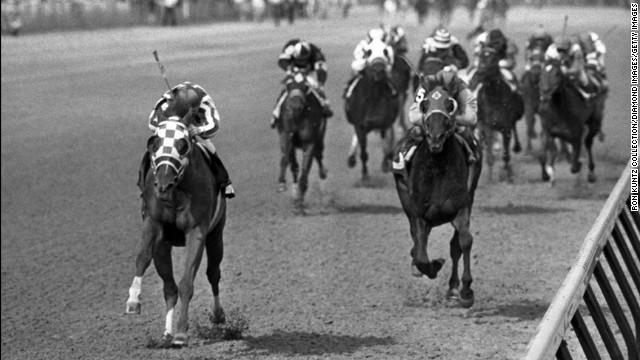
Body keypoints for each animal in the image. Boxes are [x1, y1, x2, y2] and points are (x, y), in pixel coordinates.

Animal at [125, 109, 228, 348]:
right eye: (154, 142)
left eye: (183, 144)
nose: (163, 184)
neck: (177, 191)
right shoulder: (154, 223)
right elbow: (142, 257)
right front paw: (133, 300)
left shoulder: (197, 231)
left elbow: (187, 283)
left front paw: (181, 332)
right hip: (163, 246)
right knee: (169, 288)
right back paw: (166, 334)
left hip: (216, 234)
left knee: (213, 273)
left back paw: (218, 315)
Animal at [276, 69, 328, 211]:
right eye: (289, 85)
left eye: (305, 86)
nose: (295, 107)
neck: (298, 117)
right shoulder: (286, 137)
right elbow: (287, 161)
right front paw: (282, 184)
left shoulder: (310, 143)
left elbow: (305, 169)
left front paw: (299, 201)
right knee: (294, 165)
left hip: (320, 138)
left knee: (319, 156)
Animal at [348, 39, 398, 181]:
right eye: (368, 52)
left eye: (385, 51)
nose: (379, 70)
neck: (374, 97)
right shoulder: (360, 126)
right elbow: (364, 153)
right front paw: (365, 175)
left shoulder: (385, 124)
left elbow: (387, 148)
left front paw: (386, 165)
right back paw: (351, 158)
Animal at [392, 83, 482, 306]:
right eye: (424, 104)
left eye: (450, 104)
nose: (435, 138)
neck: (438, 169)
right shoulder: (420, 215)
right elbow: (422, 255)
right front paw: (433, 265)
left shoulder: (461, 207)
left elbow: (464, 242)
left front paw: (466, 290)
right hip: (404, 197)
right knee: (416, 240)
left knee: (455, 245)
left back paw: (453, 288)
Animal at [472, 47, 524, 183]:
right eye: (480, 57)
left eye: (493, 59)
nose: (479, 74)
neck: (494, 97)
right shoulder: (487, 126)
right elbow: (489, 154)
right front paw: (490, 179)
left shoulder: (506, 128)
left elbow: (506, 154)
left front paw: (508, 175)